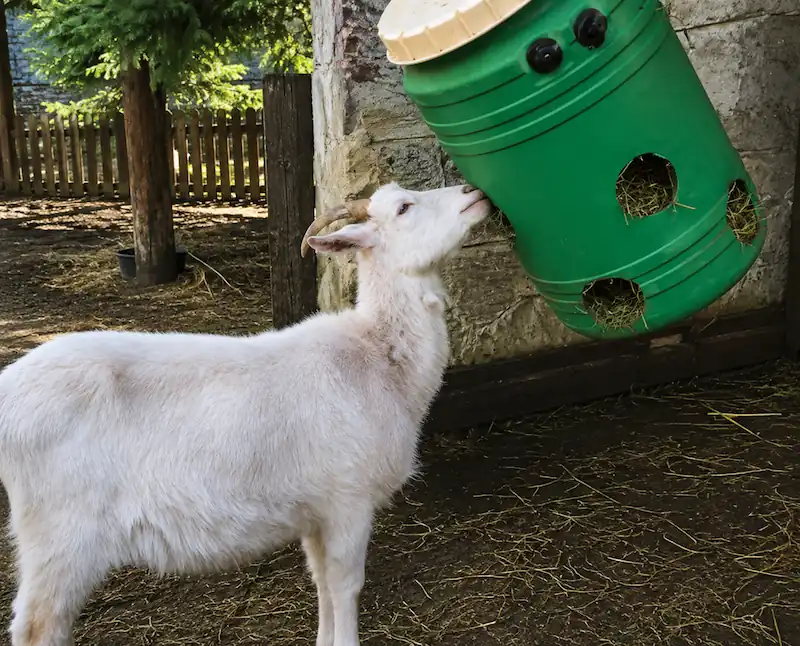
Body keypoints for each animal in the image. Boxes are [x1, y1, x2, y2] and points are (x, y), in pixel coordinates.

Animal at [0, 181, 492, 646]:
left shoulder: (315, 512)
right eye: (404, 208)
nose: (474, 193)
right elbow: (347, 586)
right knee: (36, 625)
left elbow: (322, 584)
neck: (378, 356)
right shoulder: (347, 499)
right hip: (59, 533)